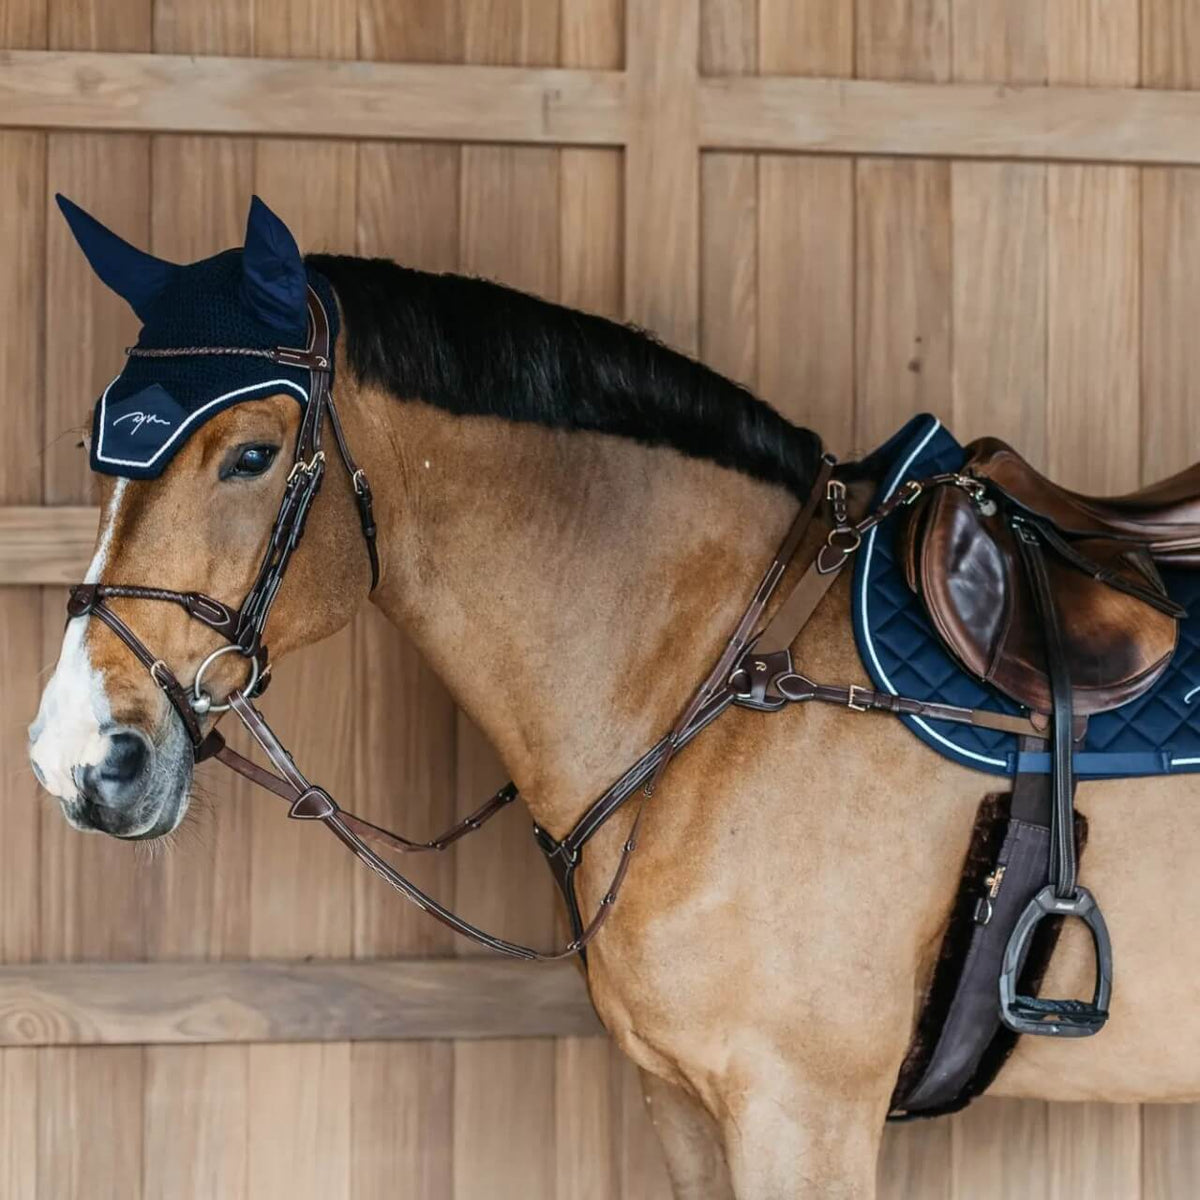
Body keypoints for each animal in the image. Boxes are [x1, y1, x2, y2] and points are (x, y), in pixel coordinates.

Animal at [28, 195, 1200, 1199]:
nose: (80, 755)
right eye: (98, 438)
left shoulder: (803, 1113)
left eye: (252, 454)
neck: (726, 689)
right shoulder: (681, 1104)